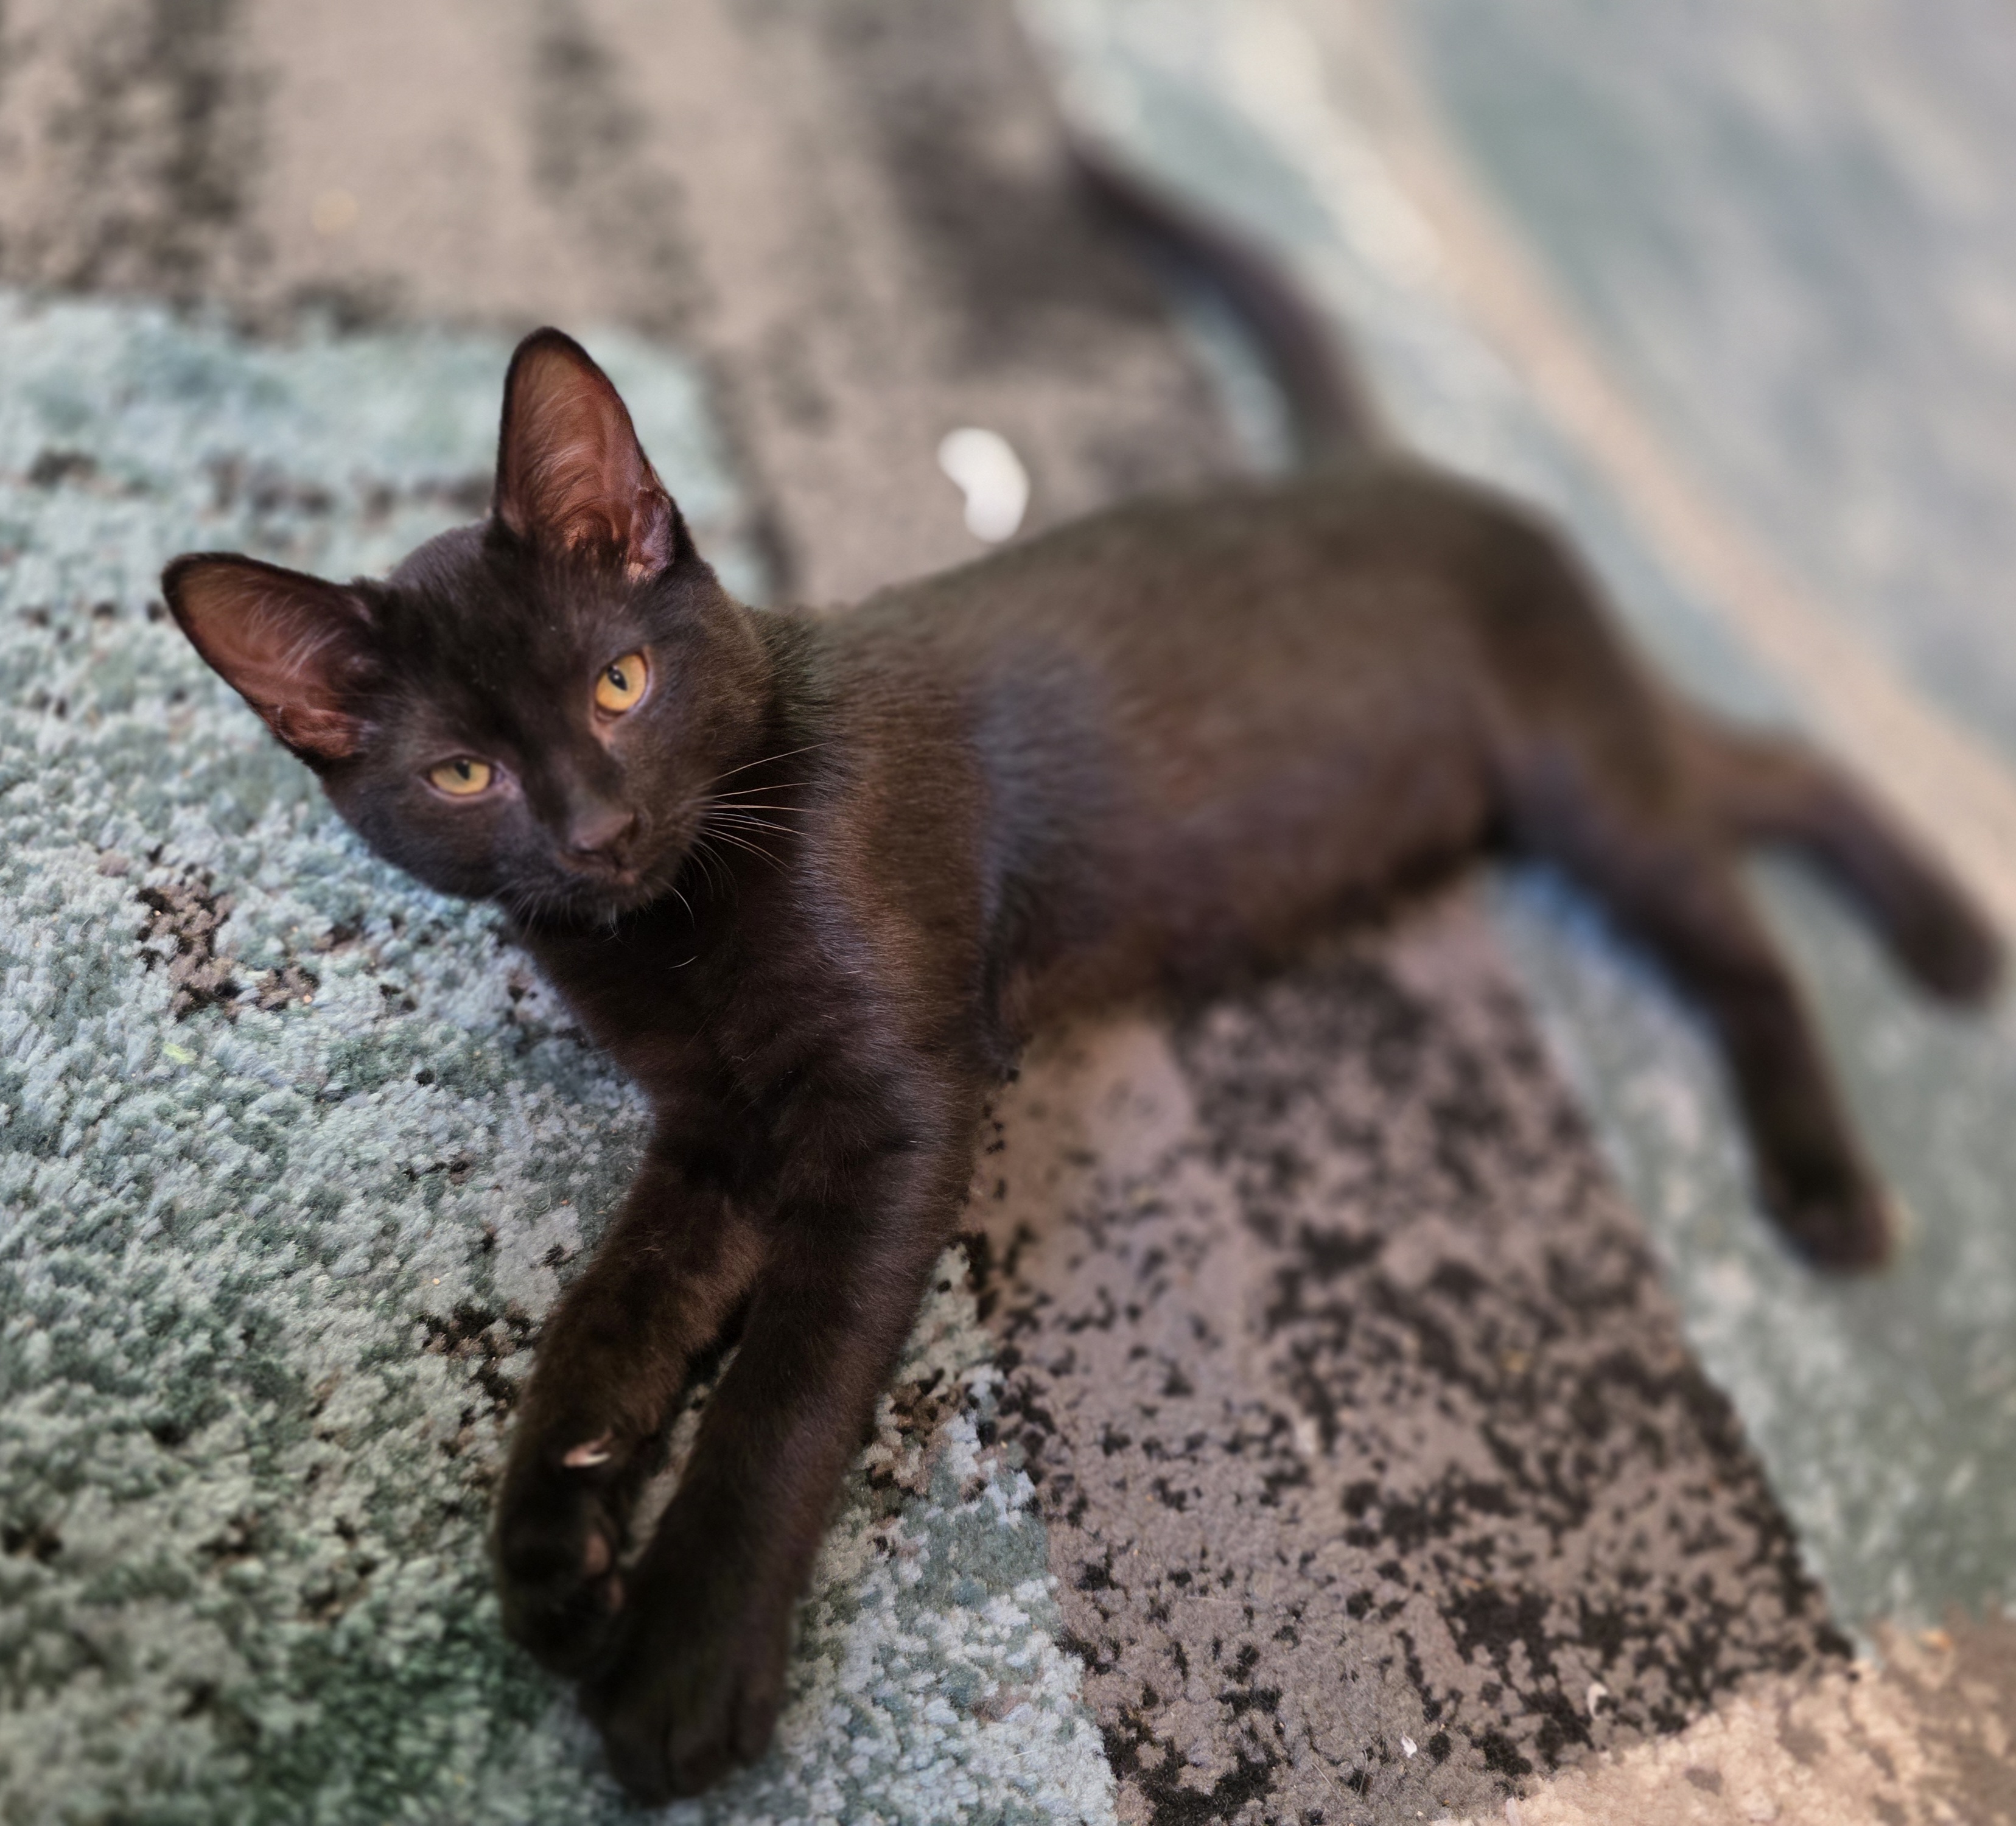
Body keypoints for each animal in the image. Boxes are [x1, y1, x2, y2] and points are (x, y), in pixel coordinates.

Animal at [160, 185, 1999, 1800]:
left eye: (620, 684)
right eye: (464, 774)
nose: (599, 832)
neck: (673, 928)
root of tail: (1406, 468)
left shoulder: (899, 1107)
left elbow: (785, 1389)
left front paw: (684, 1654)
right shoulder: (712, 1134)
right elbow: (606, 1320)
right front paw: (557, 1541)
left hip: (1568, 774)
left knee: (1742, 897)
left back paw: (1862, 1123)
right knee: (1763, 766)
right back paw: (1943, 937)